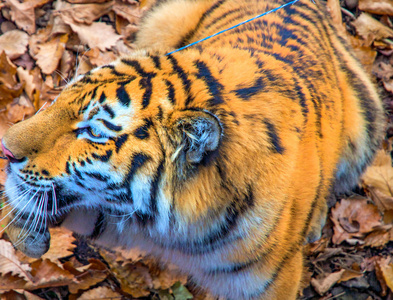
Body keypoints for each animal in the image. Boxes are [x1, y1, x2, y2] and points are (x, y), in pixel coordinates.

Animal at [0, 0, 384, 298]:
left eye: (93, 131)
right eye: (58, 100)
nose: (5, 149)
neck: (173, 231)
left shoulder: (274, 282)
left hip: (368, 125)